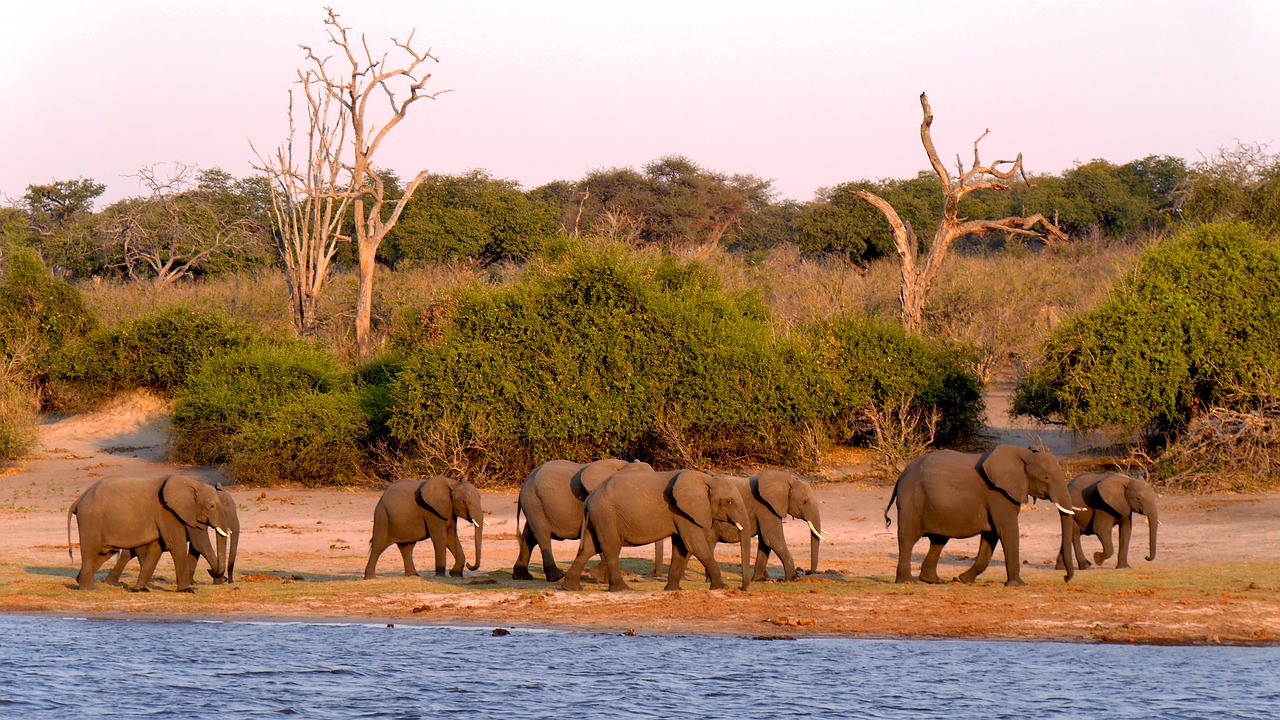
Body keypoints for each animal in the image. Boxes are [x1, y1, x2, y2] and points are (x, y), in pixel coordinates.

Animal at [105, 488, 240, 586]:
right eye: (225, 511)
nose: (230, 581)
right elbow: (200, 544)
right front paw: (219, 580)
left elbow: (195, 548)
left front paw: (192, 582)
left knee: (129, 553)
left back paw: (110, 582)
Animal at [512, 458, 653, 581]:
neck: (624, 465)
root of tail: (525, 482)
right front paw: (600, 577)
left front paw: (602, 579)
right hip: (534, 503)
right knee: (542, 536)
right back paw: (556, 577)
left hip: (534, 504)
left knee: (529, 537)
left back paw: (522, 577)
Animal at [560, 468, 751, 592]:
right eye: (729, 501)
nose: (741, 588)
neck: (705, 479)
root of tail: (590, 497)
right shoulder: (682, 510)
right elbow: (695, 545)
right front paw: (722, 587)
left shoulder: (681, 513)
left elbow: (681, 547)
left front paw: (674, 590)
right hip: (605, 514)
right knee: (610, 548)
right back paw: (622, 589)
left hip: (598, 516)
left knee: (588, 548)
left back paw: (571, 588)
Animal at [884, 444, 1079, 587]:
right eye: (1046, 478)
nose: (1065, 578)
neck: (1025, 454)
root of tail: (901, 476)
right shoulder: (998, 493)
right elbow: (1007, 530)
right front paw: (1018, 585)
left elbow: (991, 537)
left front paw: (962, 580)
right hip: (911, 500)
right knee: (908, 539)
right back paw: (907, 581)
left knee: (939, 541)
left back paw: (934, 581)